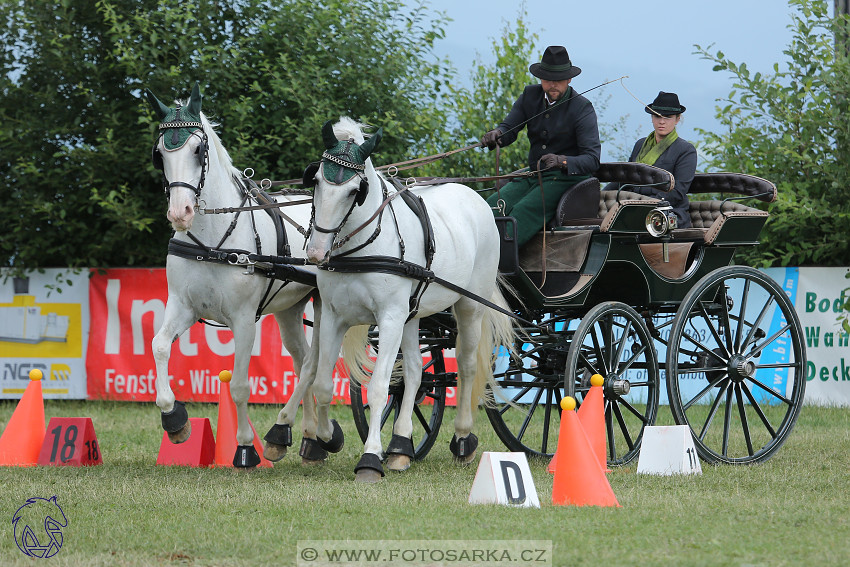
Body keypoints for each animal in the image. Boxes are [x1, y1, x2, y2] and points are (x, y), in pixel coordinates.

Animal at [144, 83, 336, 466]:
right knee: (302, 359)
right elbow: (159, 346)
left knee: (313, 364)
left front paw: (245, 446)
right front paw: (175, 419)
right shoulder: (183, 305)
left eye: (198, 149)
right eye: (159, 154)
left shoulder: (245, 319)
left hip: (325, 303)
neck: (211, 239)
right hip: (290, 308)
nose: (180, 213)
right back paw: (307, 439)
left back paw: (286, 431)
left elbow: (238, 385)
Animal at [304, 117, 516, 482]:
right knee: (416, 373)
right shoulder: (333, 316)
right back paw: (401, 447)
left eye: (354, 191)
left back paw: (463, 438)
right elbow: (321, 384)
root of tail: (479, 200)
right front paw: (328, 438)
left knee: (467, 366)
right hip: (412, 314)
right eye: (316, 180)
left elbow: (378, 387)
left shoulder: (388, 317)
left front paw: (369, 458)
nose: (316, 252)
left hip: (469, 306)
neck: (362, 246)